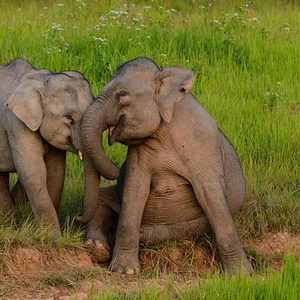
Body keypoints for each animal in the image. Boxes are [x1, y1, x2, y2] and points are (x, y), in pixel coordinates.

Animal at [0, 58, 119, 237]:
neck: (43, 80)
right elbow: (34, 172)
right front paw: (53, 237)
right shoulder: (16, 123)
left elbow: (56, 173)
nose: (77, 216)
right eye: (69, 117)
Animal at [80, 57, 253, 276]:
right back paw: (97, 247)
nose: (117, 168)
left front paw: (241, 275)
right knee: (102, 198)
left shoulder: (203, 144)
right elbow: (134, 192)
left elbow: (211, 197)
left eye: (122, 94)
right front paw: (125, 271)